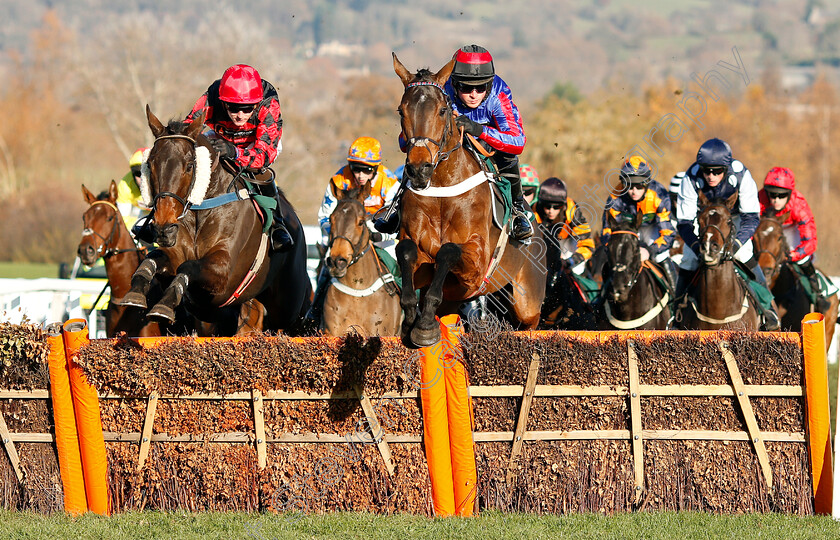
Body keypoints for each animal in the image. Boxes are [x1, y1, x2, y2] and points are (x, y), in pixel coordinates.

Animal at [118, 105, 312, 334]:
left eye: (189, 165)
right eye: (150, 164)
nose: (164, 227)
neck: (201, 211)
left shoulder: (223, 271)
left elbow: (189, 267)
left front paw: (164, 305)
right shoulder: (176, 259)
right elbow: (153, 259)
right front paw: (136, 293)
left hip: (288, 307)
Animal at [392, 53, 544, 346]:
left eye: (442, 110)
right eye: (401, 111)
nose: (419, 169)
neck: (442, 190)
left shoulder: (476, 263)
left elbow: (448, 251)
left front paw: (423, 326)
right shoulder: (423, 263)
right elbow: (406, 251)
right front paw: (413, 321)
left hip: (527, 303)